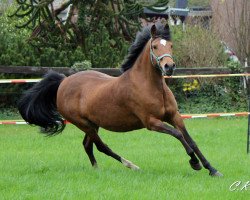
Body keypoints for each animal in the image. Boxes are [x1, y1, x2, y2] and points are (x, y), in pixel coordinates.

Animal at [18, 23, 223, 177]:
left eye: (171, 45)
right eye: (155, 46)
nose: (169, 67)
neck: (151, 86)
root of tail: (63, 82)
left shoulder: (174, 116)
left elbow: (191, 140)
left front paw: (212, 169)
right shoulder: (151, 122)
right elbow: (179, 135)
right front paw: (194, 163)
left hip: (93, 123)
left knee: (88, 146)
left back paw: (97, 170)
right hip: (83, 123)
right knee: (102, 146)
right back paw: (132, 166)